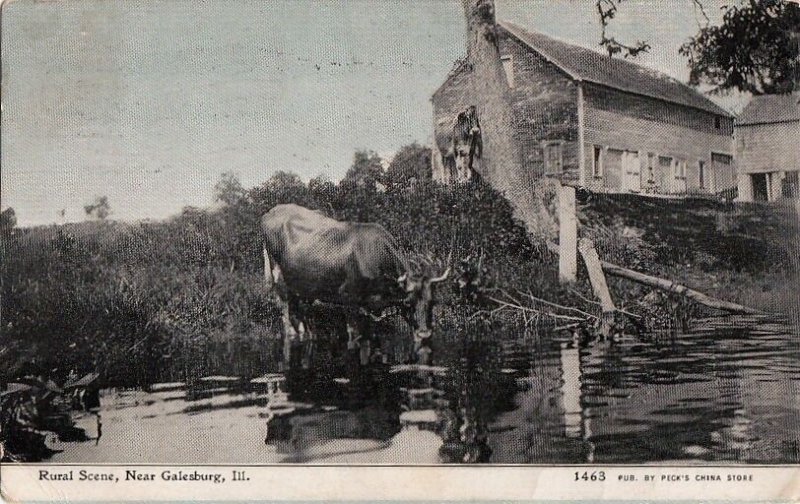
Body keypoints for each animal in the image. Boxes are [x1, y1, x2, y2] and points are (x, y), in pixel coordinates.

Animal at [262, 204, 450, 366]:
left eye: (433, 302)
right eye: (409, 303)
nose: (424, 333)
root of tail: (270, 212)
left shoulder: (370, 307)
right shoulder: (349, 300)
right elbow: (354, 337)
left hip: (301, 291)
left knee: (301, 320)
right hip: (280, 284)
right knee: (286, 319)